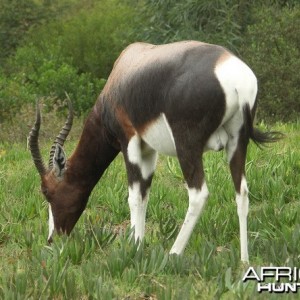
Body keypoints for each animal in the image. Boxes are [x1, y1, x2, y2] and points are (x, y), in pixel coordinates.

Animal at [29, 40, 280, 262]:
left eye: (47, 192)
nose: (52, 239)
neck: (124, 70)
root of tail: (237, 78)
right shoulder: (149, 150)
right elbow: (144, 193)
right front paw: (139, 246)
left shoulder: (128, 140)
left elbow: (133, 195)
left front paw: (133, 249)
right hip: (237, 141)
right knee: (242, 191)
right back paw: (244, 260)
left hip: (187, 145)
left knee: (198, 194)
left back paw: (173, 254)